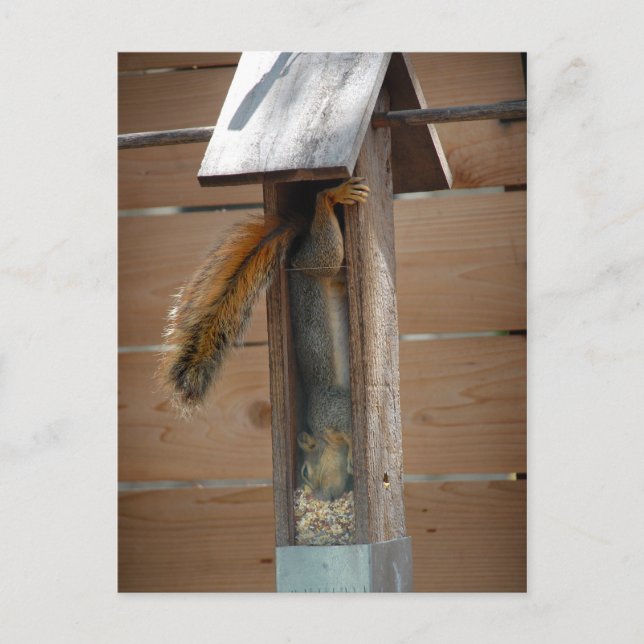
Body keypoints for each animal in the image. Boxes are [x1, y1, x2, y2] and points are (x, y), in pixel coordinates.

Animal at [161, 177, 370, 501]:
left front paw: (350, 457)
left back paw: (333, 194)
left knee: (324, 248)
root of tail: (297, 250)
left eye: (305, 471)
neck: (324, 437)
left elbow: (348, 428)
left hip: (314, 263)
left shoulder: (333, 409)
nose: (319, 497)